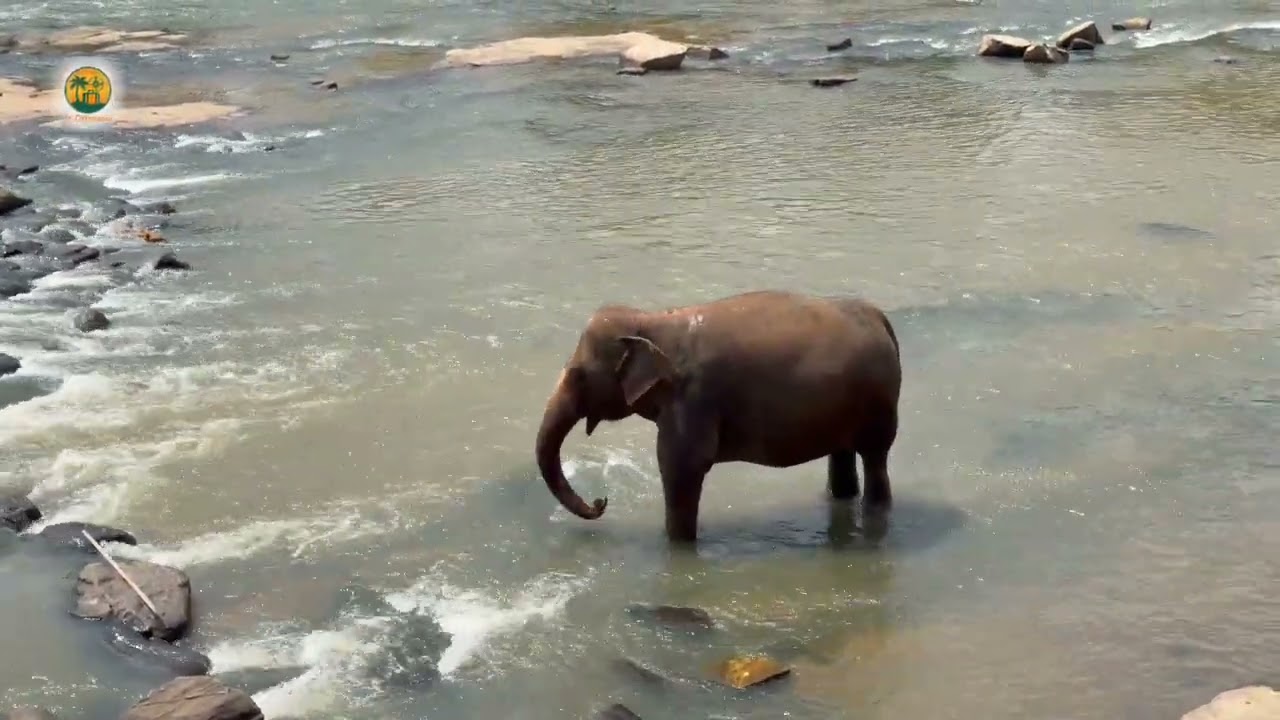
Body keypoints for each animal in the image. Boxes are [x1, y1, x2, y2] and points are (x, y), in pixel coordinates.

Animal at [535, 289, 902, 543]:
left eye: (578, 376)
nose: (600, 501)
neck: (653, 322)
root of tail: (880, 318)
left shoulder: (693, 399)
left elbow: (681, 468)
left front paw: (678, 545)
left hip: (879, 403)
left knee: (875, 458)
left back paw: (875, 515)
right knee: (842, 455)